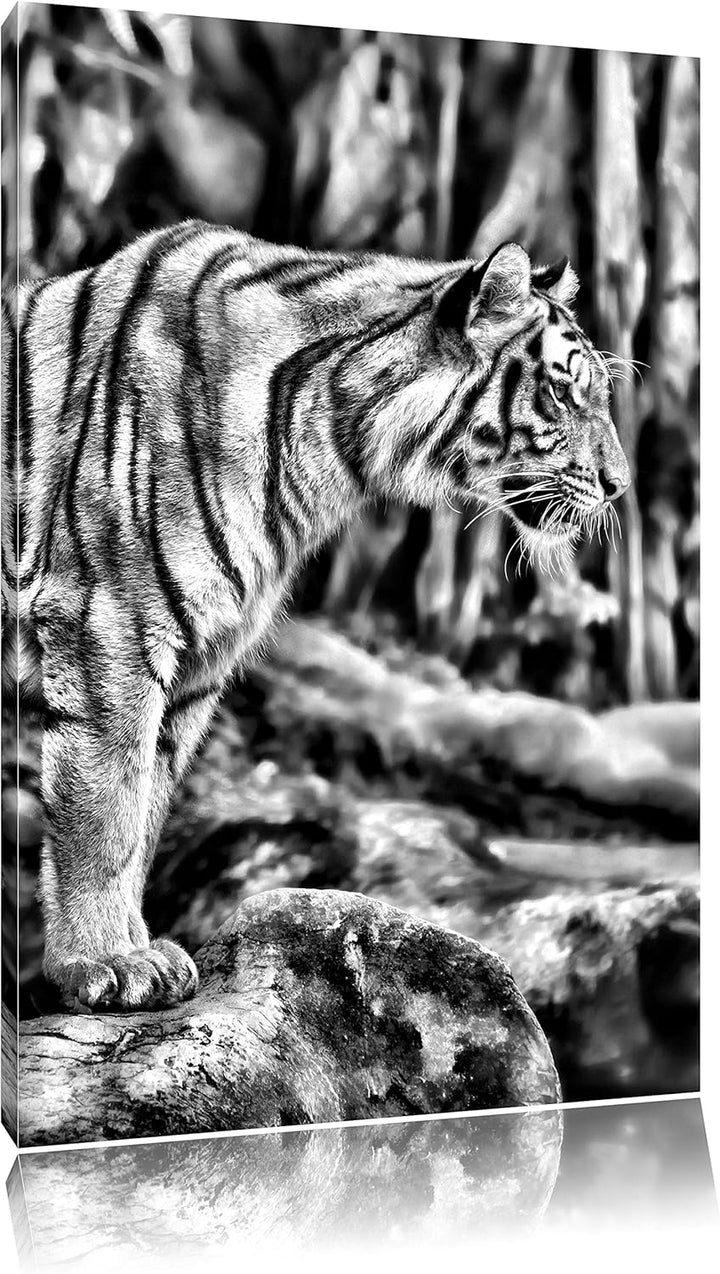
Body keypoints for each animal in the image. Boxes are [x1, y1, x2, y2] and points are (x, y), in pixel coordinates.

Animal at [1, 220, 630, 1014]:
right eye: (561, 391)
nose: (620, 485)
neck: (329, 447)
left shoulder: (200, 660)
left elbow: (146, 810)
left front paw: (143, 951)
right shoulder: (107, 626)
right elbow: (105, 810)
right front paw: (108, 962)